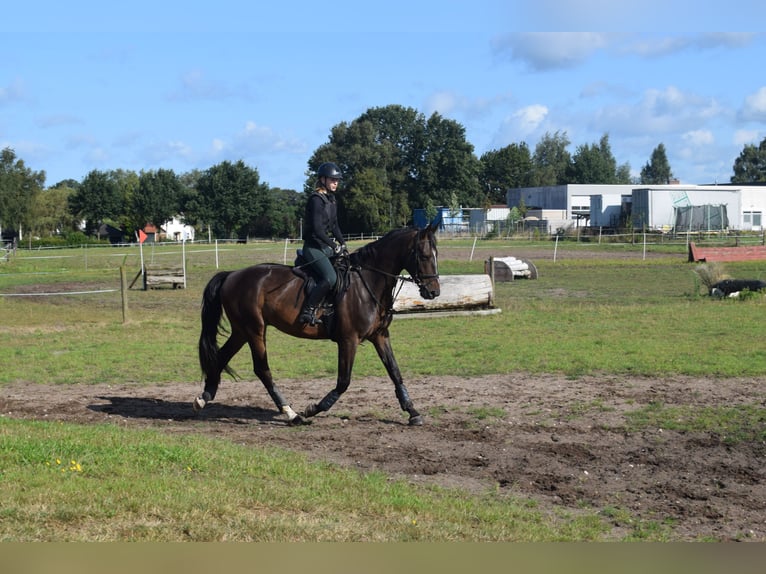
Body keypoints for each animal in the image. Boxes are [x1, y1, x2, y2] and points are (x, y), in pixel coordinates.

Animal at [195, 225, 440, 428]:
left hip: (241, 330)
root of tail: (232, 274)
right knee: (262, 369)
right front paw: (312, 409)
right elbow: (343, 382)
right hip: (255, 329)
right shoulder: (348, 340)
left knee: (221, 356)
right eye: (424, 255)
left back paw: (204, 397)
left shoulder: (380, 335)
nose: (433, 292)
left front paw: (413, 412)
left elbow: (395, 373)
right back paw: (292, 414)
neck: (368, 282)